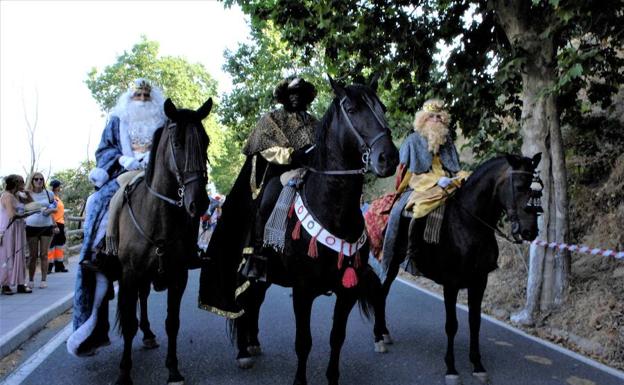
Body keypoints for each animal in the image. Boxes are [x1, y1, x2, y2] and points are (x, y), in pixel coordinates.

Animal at [112, 98, 210, 384]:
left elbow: (172, 323)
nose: (199, 203)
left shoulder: (178, 276)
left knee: (144, 297)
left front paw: (173, 369)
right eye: (177, 143)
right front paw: (124, 372)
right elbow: (128, 322)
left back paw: (148, 334)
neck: (157, 217)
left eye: (206, 141)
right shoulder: (129, 274)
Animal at [234, 76, 400, 384]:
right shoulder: (303, 290)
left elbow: (337, 338)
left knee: (255, 301)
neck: (334, 212)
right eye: (351, 108)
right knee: (244, 301)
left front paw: (332, 377)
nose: (388, 158)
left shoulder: (347, 291)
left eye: (382, 107)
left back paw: (253, 342)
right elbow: (304, 341)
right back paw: (242, 352)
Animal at [376, 153, 540, 384]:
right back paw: (379, 337)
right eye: (519, 186)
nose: (530, 231)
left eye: (537, 189)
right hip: (390, 261)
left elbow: (475, 322)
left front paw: (478, 365)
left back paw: (384, 333)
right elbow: (451, 325)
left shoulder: (479, 281)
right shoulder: (451, 284)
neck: (469, 224)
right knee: (381, 292)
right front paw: (451, 368)